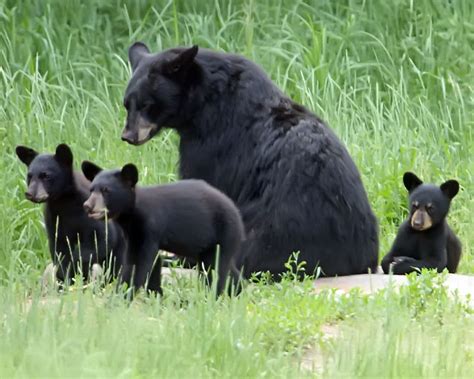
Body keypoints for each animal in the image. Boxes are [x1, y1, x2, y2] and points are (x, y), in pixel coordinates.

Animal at [16, 144, 125, 284]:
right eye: (29, 176)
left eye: (46, 176)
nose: (30, 193)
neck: (64, 202)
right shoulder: (54, 218)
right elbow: (59, 251)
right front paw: (66, 279)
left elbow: (104, 238)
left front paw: (77, 260)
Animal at [82, 162, 244, 296]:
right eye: (91, 190)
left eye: (106, 190)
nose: (88, 206)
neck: (131, 215)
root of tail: (237, 213)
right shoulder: (133, 233)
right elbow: (150, 263)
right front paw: (155, 295)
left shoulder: (149, 227)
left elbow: (138, 263)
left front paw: (120, 295)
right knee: (226, 268)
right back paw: (238, 290)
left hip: (223, 233)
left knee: (215, 270)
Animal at [121, 42, 378, 280]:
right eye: (126, 104)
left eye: (147, 104)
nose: (128, 136)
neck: (204, 101)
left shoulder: (211, 145)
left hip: (267, 230)